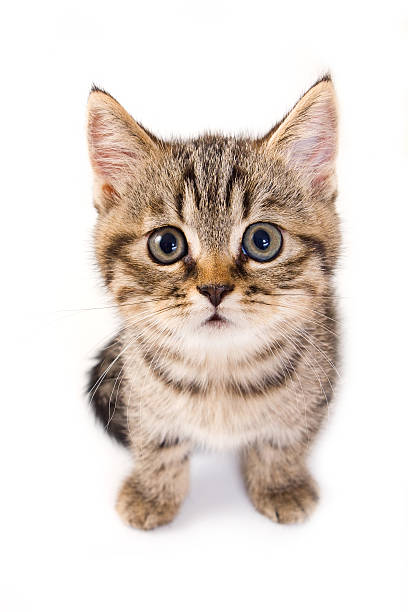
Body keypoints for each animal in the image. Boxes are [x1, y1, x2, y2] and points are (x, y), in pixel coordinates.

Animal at [87, 76, 340, 528]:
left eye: (263, 241)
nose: (215, 289)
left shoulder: (316, 381)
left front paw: (280, 483)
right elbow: (155, 438)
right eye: (166, 244)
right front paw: (153, 491)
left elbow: (287, 438)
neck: (219, 373)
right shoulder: (141, 389)